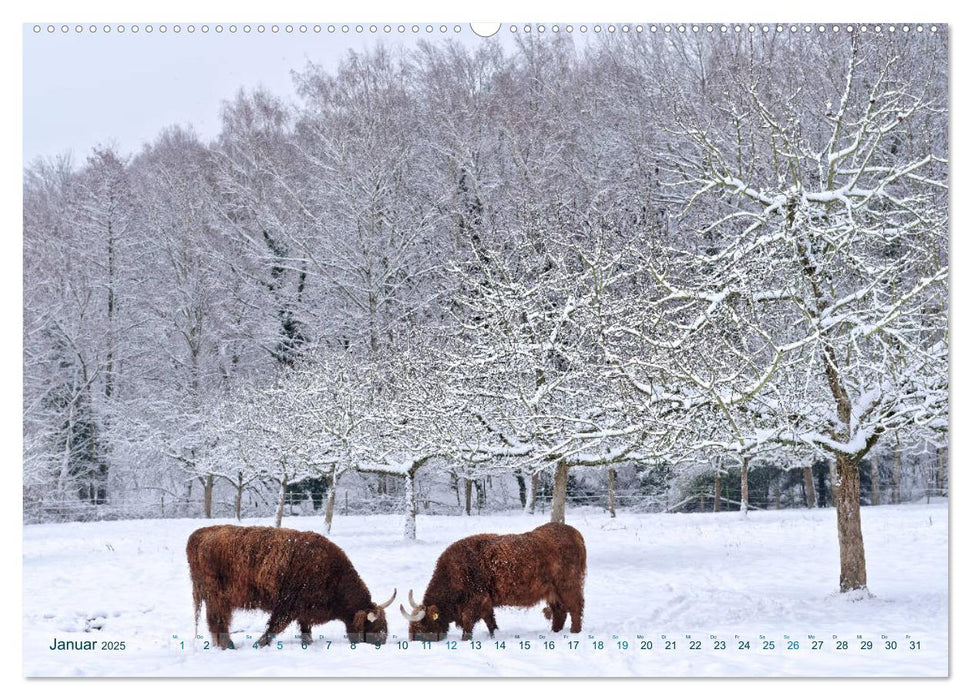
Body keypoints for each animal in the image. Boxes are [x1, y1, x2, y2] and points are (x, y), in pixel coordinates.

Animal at [188, 524, 392, 648]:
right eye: (375, 627)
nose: (381, 642)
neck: (334, 577)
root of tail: (201, 533)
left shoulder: (304, 610)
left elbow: (305, 629)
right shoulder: (287, 606)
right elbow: (274, 628)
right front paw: (258, 644)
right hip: (217, 597)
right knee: (218, 621)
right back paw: (228, 646)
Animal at [400, 524, 584, 644]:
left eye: (421, 626)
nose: (413, 641)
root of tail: (573, 532)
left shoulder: (474, 602)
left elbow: (468, 624)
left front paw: (465, 639)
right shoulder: (486, 602)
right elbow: (490, 621)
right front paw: (494, 635)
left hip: (568, 586)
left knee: (576, 608)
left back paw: (575, 632)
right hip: (552, 591)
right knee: (560, 611)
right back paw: (555, 632)